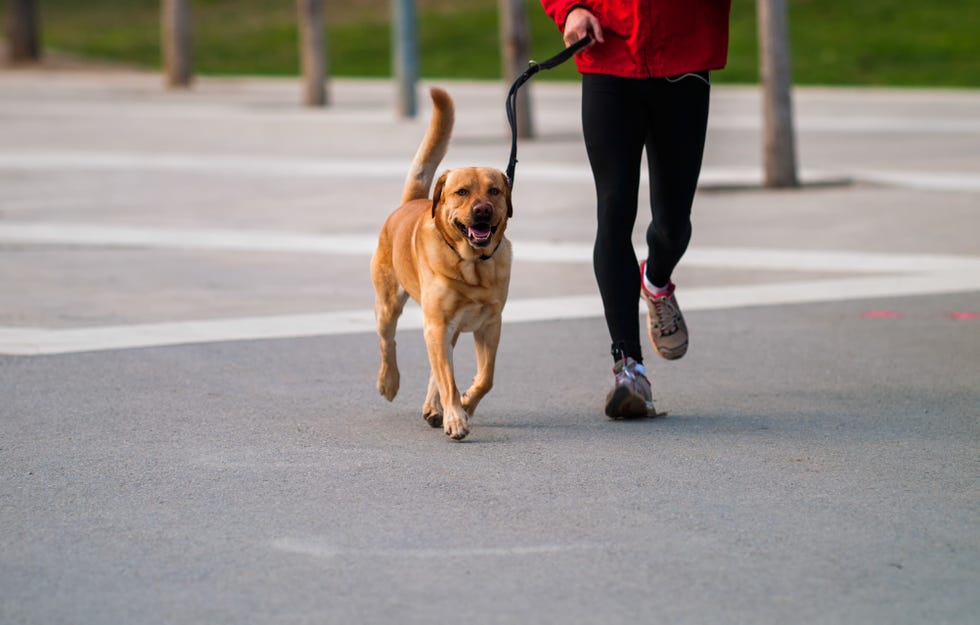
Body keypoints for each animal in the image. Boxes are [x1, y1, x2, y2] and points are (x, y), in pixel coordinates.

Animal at [372, 88, 512, 438]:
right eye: (461, 192)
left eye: (494, 190)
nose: (482, 210)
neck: (472, 265)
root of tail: (411, 201)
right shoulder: (437, 323)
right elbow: (448, 378)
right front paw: (456, 418)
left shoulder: (490, 324)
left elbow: (485, 378)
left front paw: (466, 404)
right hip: (389, 306)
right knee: (388, 342)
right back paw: (389, 383)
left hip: (448, 328)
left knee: (438, 367)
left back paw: (436, 408)